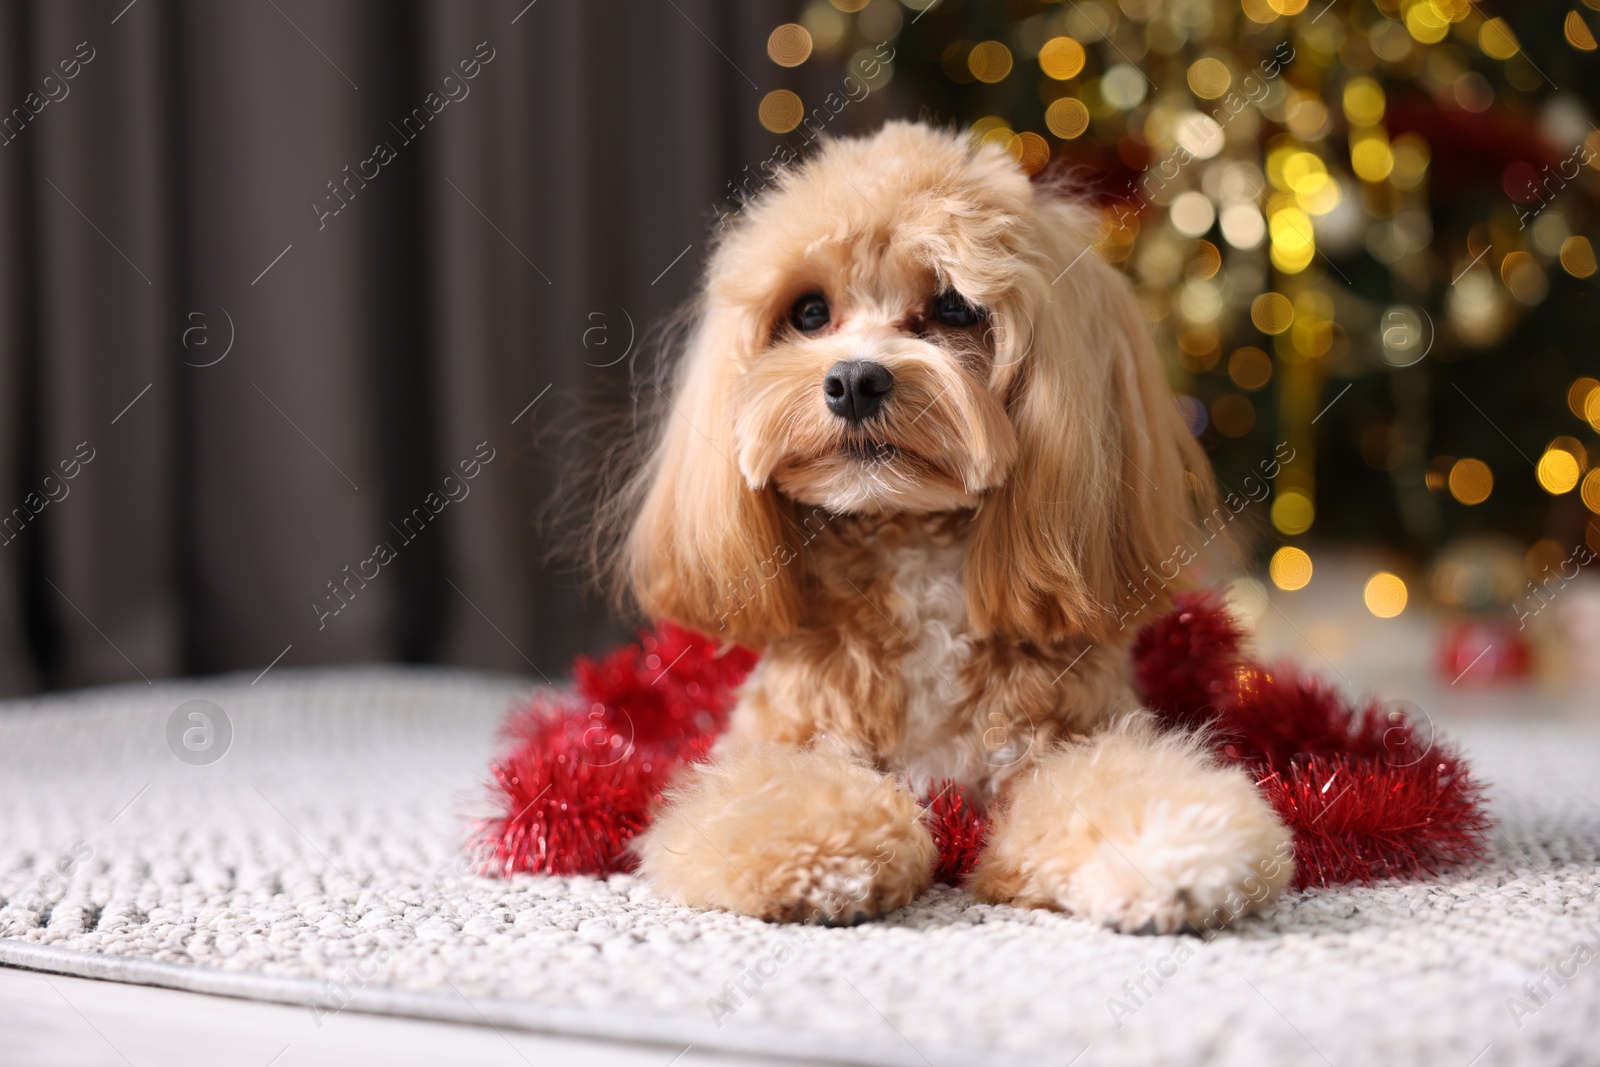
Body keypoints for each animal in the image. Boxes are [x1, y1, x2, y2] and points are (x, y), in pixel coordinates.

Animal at [608, 120, 1286, 927]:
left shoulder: (1069, 733)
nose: (854, 379)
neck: (912, 549)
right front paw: (818, 852)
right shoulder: (781, 738)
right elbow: (783, 789)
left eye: (956, 307)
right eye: (808, 313)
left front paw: (1171, 847)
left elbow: (1112, 780)